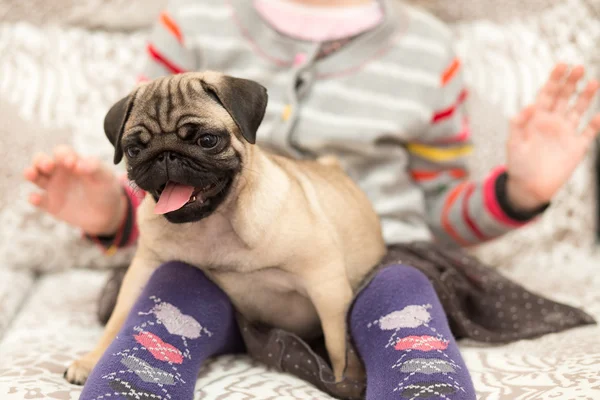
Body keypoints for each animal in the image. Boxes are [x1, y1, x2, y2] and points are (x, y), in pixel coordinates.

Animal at [64, 71, 384, 384]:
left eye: (207, 140)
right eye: (133, 150)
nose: (165, 154)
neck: (211, 223)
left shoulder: (325, 283)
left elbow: (338, 345)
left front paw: (344, 380)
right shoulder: (144, 269)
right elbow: (117, 320)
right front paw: (91, 360)